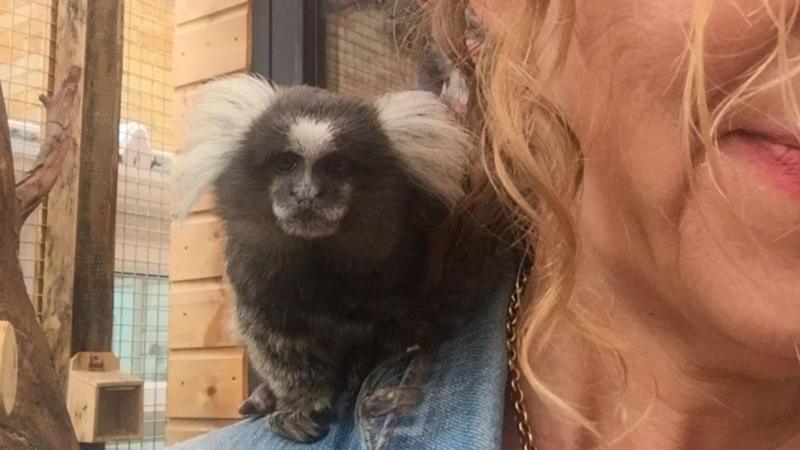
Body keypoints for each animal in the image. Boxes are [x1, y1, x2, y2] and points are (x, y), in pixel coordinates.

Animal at [175, 75, 473, 443]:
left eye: (338, 166)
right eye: (286, 162)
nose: (306, 195)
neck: (318, 262)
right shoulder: (254, 277)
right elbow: (275, 339)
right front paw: (301, 403)